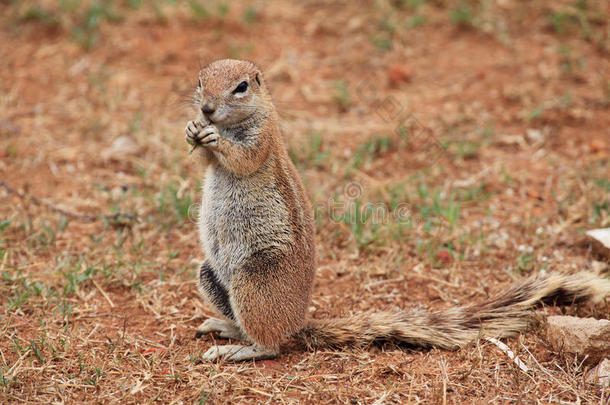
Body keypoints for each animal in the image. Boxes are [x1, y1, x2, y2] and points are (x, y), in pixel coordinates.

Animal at [185, 57, 608, 360]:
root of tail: (297, 324)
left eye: (241, 87)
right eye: (200, 80)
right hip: (212, 275)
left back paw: (237, 349)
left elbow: (242, 158)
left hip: (253, 281)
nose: (206, 110)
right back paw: (226, 328)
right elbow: (204, 162)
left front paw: (214, 138)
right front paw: (193, 131)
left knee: (272, 345)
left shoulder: (261, 140)